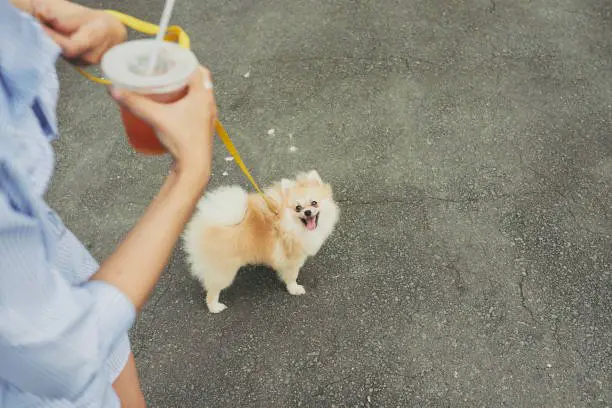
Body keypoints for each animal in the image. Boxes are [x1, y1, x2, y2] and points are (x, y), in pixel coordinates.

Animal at [182, 169, 340, 312]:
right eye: (298, 208)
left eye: (314, 203)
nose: (307, 212)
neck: (286, 220)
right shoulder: (292, 259)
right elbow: (292, 277)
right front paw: (294, 289)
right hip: (224, 270)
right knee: (212, 290)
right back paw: (215, 307)